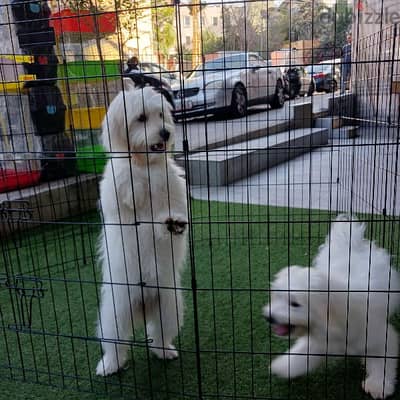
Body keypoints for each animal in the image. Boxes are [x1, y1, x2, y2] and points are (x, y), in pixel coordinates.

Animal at [95, 83, 188, 376]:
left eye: (160, 115)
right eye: (141, 118)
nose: (166, 132)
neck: (146, 166)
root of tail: (143, 305)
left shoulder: (175, 193)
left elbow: (171, 216)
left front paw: (174, 223)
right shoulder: (113, 196)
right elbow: (125, 179)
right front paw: (134, 188)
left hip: (169, 306)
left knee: (159, 334)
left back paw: (165, 351)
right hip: (116, 312)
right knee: (115, 343)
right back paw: (110, 365)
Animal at [262, 216, 400, 400]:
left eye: (295, 304)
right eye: (277, 297)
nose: (268, 317)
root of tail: (352, 243)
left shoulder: (379, 336)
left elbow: (382, 362)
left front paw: (378, 385)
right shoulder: (320, 341)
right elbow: (302, 353)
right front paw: (284, 365)